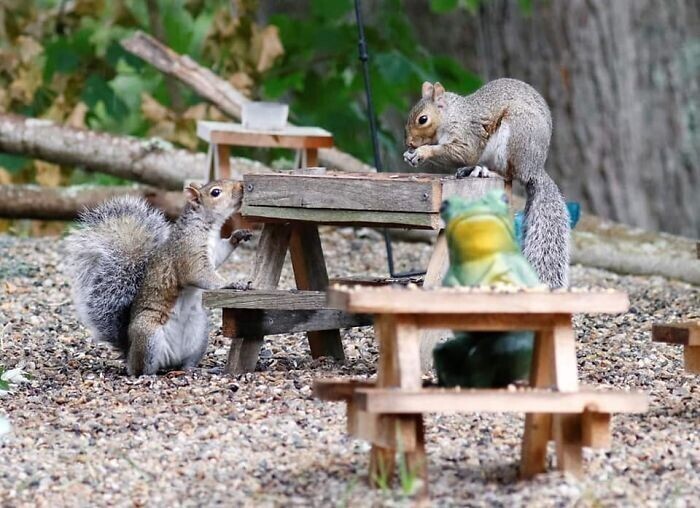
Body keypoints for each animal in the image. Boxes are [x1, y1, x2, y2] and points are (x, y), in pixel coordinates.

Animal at [65, 181, 252, 376]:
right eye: (215, 192)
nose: (241, 185)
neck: (208, 229)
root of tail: (129, 351)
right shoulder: (188, 254)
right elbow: (201, 275)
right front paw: (232, 282)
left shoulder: (216, 252)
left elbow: (223, 253)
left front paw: (238, 235)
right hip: (148, 335)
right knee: (140, 369)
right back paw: (149, 376)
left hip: (199, 333)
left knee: (185, 362)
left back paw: (191, 369)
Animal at [402, 77, 572, 288]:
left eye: (423, 119)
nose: (409, 143)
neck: (451, 115)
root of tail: (534, 169)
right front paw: (410, 155)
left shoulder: (468, 137)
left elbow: (463, 152)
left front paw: (422, 152)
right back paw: (471, 170)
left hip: (515, 136)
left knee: (508, 174)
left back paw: (486, 171)